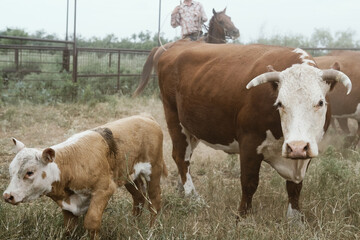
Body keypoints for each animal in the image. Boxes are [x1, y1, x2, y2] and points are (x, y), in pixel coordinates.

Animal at [2, 115, 167, 238]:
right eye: (11, 170)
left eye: (29, 172)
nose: (7, 196)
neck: (71, 163)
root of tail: (145, 116)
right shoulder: (67, 205)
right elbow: (69, 228)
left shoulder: (104, 189)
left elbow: (91, 222)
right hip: (129, 175)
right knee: (139, 197)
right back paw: (134, 224)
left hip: (154, 169)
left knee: (155, 201)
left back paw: (151, 231)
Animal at [134, 40, 350, 219]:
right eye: (280, 103)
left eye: (320, 102)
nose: (296, 146)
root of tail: (176, 43)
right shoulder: (249, 143)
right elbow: (249, 182)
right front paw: (242, 216)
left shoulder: (307, 150)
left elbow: (295, 186)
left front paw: (295, 218)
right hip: (174, 117)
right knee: (180, 156)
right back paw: (193, 197)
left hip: (192, 126)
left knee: (186, 160)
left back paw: (183, 189)